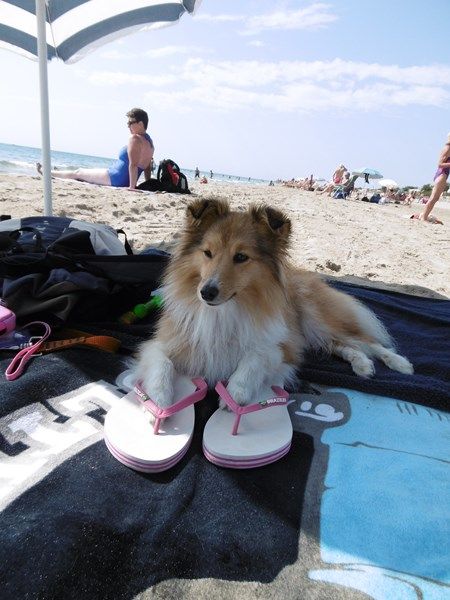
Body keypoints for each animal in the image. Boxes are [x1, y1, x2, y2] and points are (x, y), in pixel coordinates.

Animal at [135, 197, 414, 408]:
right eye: (207, 253)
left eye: (241, 257)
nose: (207, 293)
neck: (225, 310)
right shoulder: (165, 342)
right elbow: (161, 362)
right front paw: (160, 398)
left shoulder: (280, 348)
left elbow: (253, 359)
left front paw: (235, 393)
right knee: (345, 346)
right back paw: (363, 365)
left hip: (317, 319)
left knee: (367, 342)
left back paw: (399, 363)